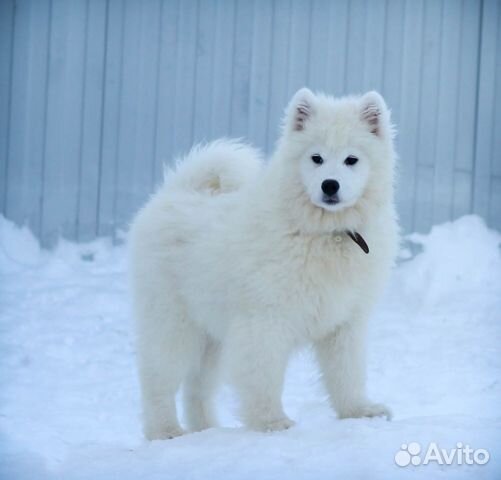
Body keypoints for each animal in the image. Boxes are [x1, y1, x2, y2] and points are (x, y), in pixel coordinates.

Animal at [129, 87, 398, 438]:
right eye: (316, 158)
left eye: (351, 159)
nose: (330, 185)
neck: (326, 233)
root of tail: (174, 192)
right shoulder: (265, 320)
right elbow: (264, 376)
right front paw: (272, 423)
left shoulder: (345, 322)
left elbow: (346, 373)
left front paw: (360, 412)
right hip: (173, 321)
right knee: (158, 380)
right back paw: (166, 431)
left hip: (213, 334)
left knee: (197, 388)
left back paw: (207, 430)